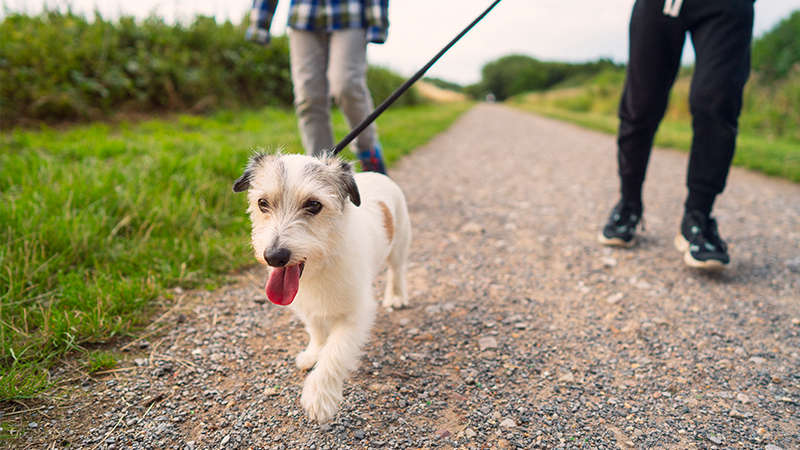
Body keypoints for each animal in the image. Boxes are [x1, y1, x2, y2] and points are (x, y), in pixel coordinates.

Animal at [230, 153, 406, 424]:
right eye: (262, 203)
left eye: (313, 205)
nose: (274, 257)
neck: (321, 264)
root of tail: (377, 174)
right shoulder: (306, 306)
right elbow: (317, 331)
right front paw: (313, 354)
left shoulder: (355, 315)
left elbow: (335, 351)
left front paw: (319, 396)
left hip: (399, 247)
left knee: (397, 271)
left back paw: (395, 296)